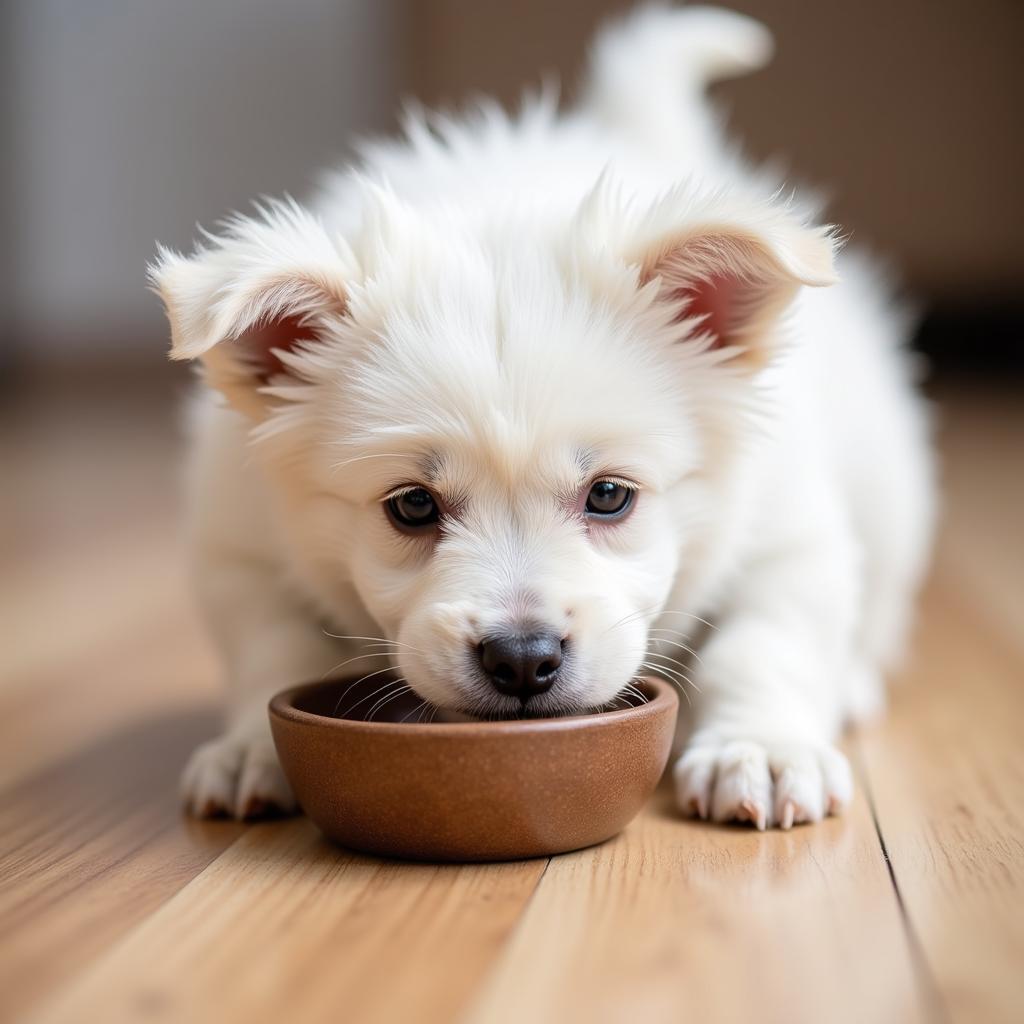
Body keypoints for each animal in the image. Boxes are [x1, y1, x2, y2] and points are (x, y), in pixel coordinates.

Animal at [151, 4, 937, 827]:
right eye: (411, 506)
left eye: (610, 495)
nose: (522, 660)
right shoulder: (239, 545)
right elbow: (274, 649)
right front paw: (250, 750)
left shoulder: (784, 532)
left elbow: (764, 642)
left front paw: (760, 749)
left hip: (892, 496)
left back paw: (851, 683)